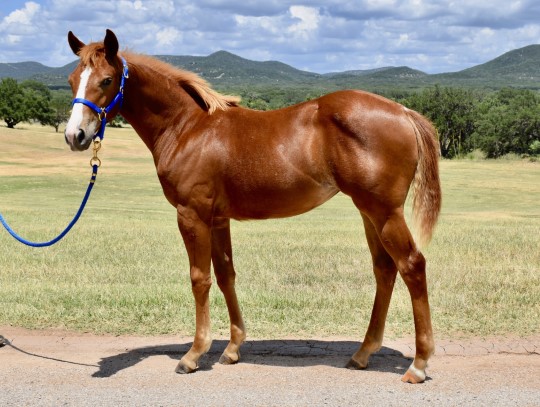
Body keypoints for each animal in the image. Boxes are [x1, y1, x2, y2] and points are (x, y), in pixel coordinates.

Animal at [65, 30, 440, 384]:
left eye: (106, 80)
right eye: (72, 79)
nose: (75, 136)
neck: (188, 128)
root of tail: (404, 112)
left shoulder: (191, 215)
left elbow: (199, 278)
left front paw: (193, 354)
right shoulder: (218, 219)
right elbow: (225, 275)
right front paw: (232, 348)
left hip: (384, 212)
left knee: (412, 266)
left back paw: (419, 364)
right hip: (369, 213)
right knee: (385, 269)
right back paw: (363, 354)